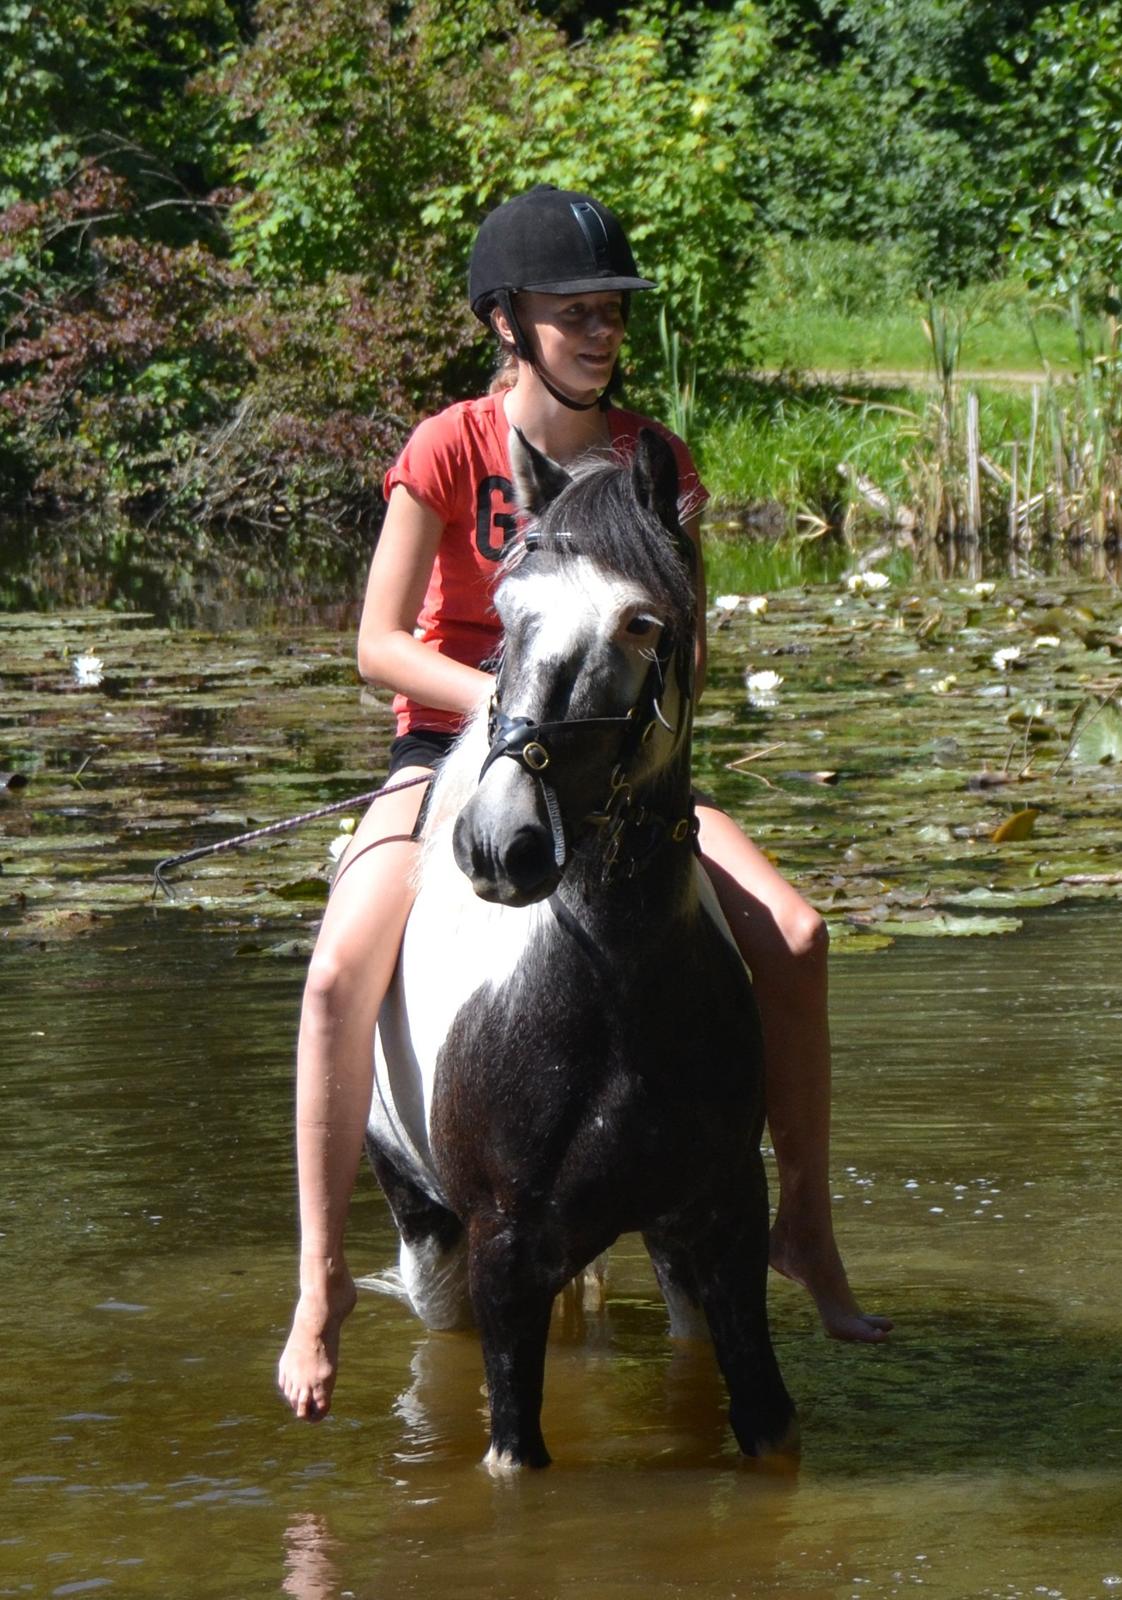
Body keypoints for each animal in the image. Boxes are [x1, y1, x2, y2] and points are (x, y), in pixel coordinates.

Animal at [368, 428, 797, 1472]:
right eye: (508, 614)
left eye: (642, 622)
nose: (499, 844)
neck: (615, 984)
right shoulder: (504, 1253)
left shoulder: (723, 1223)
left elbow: (767, 1424)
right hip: (432, 1244)